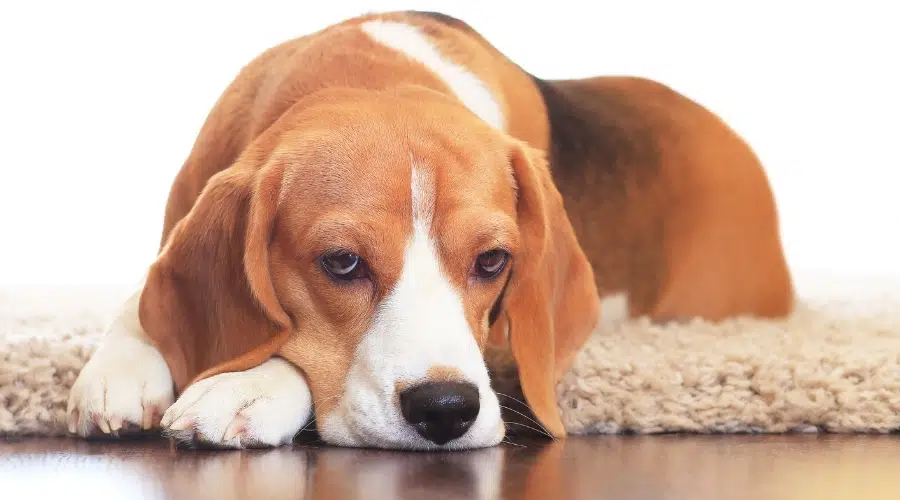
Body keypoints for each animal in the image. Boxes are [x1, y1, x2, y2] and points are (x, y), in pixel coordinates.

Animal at [67, 10, 792, 450]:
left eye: (494, 261)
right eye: (341, 263)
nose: (446, 410)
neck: (373, 74)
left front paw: (250, 385)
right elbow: (146, 294)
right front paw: (123, 365)